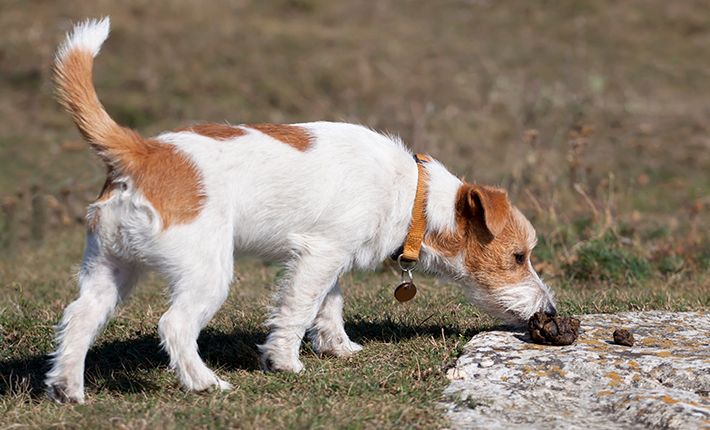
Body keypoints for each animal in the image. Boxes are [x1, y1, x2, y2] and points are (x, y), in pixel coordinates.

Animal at [44, 18, 560, 404]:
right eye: (519, 257)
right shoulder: (320, 256)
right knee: (174, 325)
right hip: (207, 271)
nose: (551, 311)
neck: (413, 195)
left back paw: (68, 389)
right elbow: (297, 310)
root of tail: (141, 151)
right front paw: (285, 362)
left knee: (79, 316)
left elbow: (328, 305)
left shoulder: (325, 258)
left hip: (111, 266)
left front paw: (339, 348)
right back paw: (205, 383)